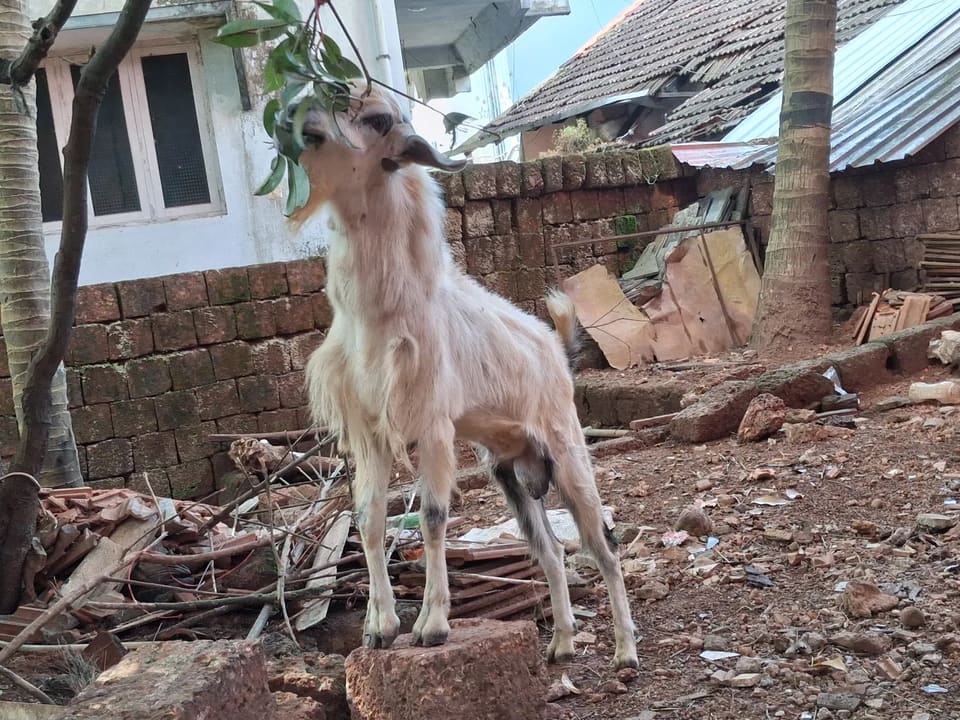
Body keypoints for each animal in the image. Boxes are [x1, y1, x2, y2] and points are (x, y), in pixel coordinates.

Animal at [293, 87, 639, 670]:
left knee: (603, 549)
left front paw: (431, 626)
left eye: (378, 119)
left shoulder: (433, 424)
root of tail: (556, 352)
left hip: (568, 453)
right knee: (550, 551)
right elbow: (368, 519)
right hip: (514, 475)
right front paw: (379, 628)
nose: (302, 126)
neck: (382, 313)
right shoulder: (370, 431)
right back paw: (562, 643)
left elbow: (433, 515)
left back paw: (624, 651)